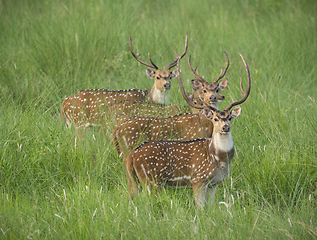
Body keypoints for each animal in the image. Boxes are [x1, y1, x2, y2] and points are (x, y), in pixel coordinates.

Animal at [123, 53, 249, 207]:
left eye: (230, 117)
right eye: (215, 119)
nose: (225, 127)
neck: (220, 159)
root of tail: (131, 156)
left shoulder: (213, 183)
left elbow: (211, 207)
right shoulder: (198, 179)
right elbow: (200, 208)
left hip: (133, 180)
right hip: (151, 180)